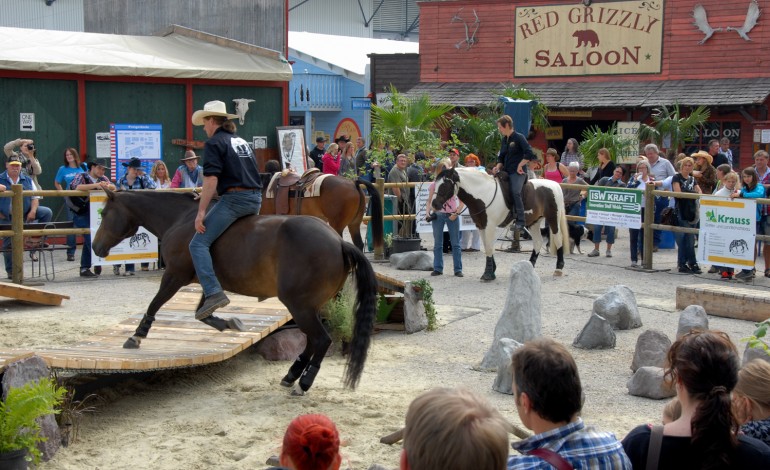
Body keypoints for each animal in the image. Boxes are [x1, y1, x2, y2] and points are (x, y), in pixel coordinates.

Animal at [92, 190, 376, 392]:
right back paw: (291, 375)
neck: (181, 219)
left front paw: (136, 336)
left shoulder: (174, 275)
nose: (95, 247)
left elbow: (155, 303)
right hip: (313, 306)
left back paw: (304, 382)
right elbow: (203, 312)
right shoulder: (207, 280)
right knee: (313, 340)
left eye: (104, 214)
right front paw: (228, 323)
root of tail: (338, 241)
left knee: (321, 339)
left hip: (300, 305)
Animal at [432, 168, 568, 280]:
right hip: (533, 222)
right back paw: (530, 266)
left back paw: (559, 268)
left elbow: (489, 247)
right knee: (538, 242)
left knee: (558, 239)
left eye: (444, 184)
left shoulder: (490, 226)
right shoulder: (481, 225)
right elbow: (487, 246)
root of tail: (555, 185)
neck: (483, 194)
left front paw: (488, 274)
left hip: (553, 219)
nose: (434, 204)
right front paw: (492, 270)